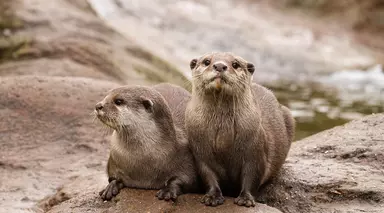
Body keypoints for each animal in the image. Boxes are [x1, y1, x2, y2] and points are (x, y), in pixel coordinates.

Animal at [184, 52, 296, 207]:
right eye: (207, 61)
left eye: (235, 64)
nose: (219, 66)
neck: (223, 140)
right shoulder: (200, 153)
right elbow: (208, 175)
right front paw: (212, 196)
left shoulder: (255, 151)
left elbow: (252, 176)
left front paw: (245, 198)